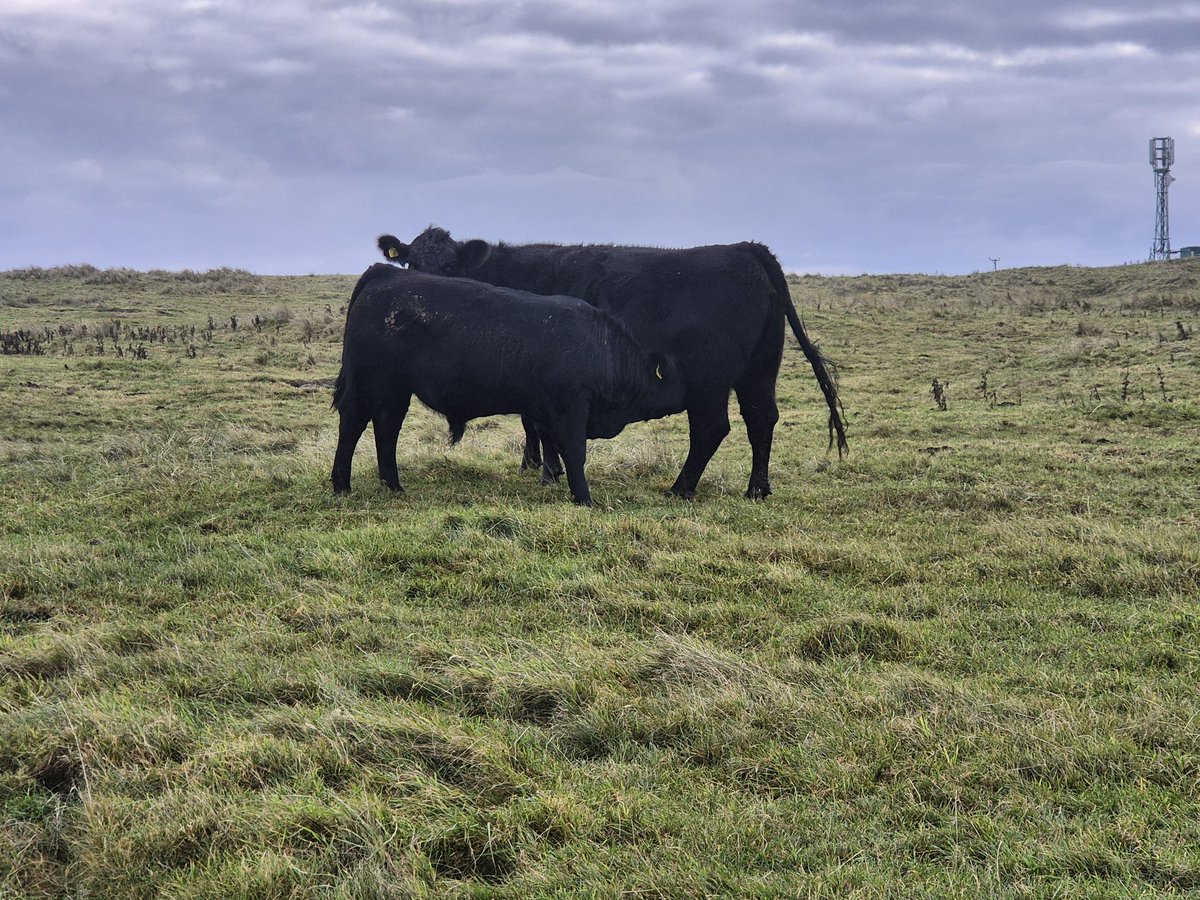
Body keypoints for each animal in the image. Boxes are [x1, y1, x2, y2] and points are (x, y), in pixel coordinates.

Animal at [331, 263, 685, 506]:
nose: (684, 399)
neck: (600, 346)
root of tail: (386, 273)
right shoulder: (571, 409)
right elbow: (574, 452)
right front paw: (583, 497)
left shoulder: (543, 410)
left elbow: (549, 446)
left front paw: (551, 477)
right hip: (366, 383)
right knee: (352, 426)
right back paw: (341, 484)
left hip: (395, 390)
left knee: (387, 428)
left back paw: (392, 484)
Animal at [377, 227, 847, 500]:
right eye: (411, 262)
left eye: (450, 264)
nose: (426, 286)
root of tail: (745, 248)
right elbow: (537, 423)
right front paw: (541, 466)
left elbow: (537, 423)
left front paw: (546, 470)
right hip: (759, 369)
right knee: (761, 419)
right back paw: (756, 489)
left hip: (708, 379)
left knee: (713, 428)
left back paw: (680, 489)